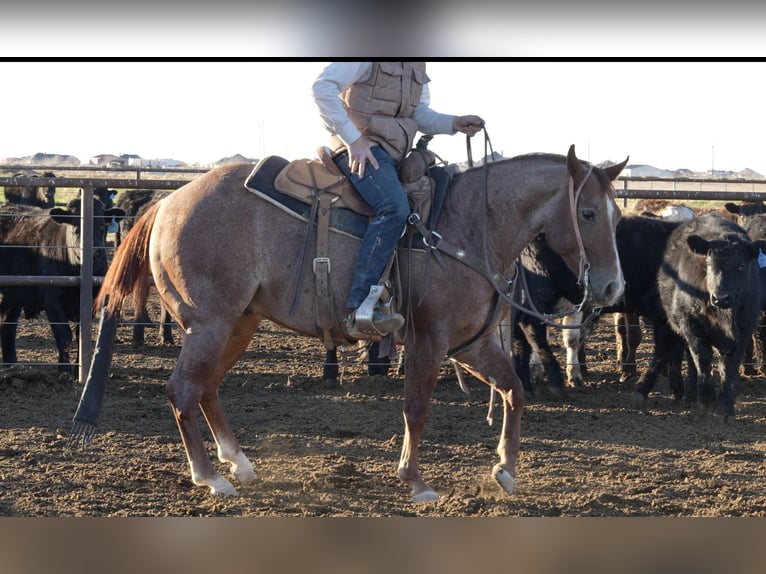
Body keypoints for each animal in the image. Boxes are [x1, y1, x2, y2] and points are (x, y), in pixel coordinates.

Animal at [0, 200, 126, 376]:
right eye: (75, 226)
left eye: (102, 225)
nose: (94, 252)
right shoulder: (52, 301)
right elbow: (64, 335)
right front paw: (64, 371)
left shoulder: (91, 302)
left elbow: (81, 335)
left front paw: (79, 370)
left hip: (13, 295)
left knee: (7, 323)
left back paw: (12, 365)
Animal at [70, 144, 632, 504]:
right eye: (585, 213)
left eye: (616, 216)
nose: (611, 288)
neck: (471, 226)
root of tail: (167, 201)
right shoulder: (429, 339)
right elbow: (416, 407)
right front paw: (415, 481)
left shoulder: (470, 344)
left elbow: (514, 389)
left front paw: (506, 470)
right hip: (210, 323)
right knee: (183, 389)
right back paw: (211, 477)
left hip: (238, 324)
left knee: (206, 388)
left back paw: (239, 463)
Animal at [660, 213, 766, 418]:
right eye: (709, 263)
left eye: (741, 265)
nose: (721, 297)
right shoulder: (689, 323)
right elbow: (702, 358)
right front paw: (706, 399)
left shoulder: (745, 328)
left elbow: (729, 367)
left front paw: (726, 406)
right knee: (692, 360)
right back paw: (692, 393)